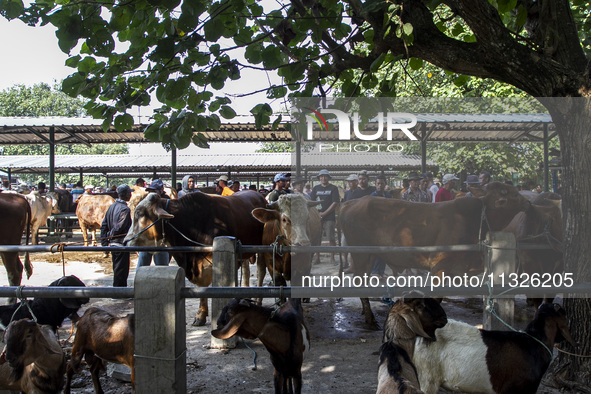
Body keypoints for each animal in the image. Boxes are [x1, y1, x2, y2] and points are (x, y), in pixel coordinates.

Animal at [123, 191, 268, 326]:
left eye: (139, 213)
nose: (125, 241)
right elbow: (202, 286)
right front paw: (201, 315)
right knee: (247, 272)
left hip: (261, 248)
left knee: (260, 271)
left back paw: (258, 300)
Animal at [340, 182, 528, 330]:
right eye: (513, 194)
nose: (527, 201)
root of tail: (350, 203)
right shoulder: (439, 267)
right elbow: (436, 297)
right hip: (361, 255)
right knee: (359, 281)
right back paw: (370, 319)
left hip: (370, 255)